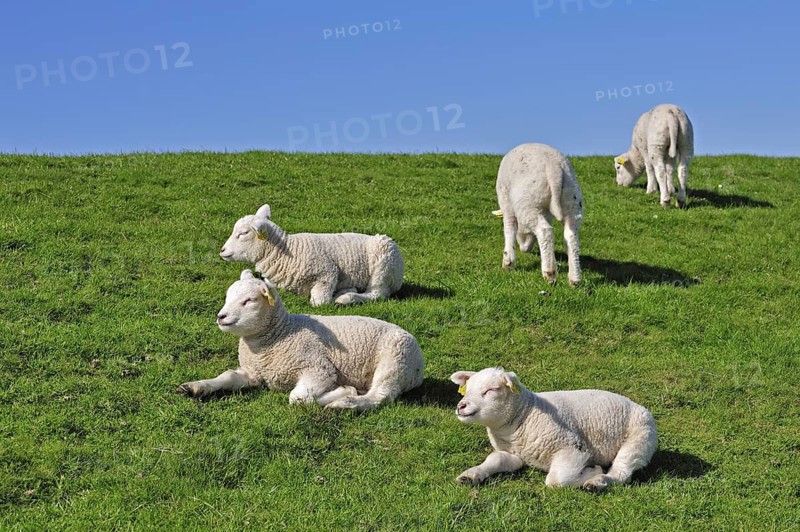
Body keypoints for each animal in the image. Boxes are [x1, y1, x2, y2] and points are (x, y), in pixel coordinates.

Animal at [176, 269, 424, 411]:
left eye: (249, 301)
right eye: (228, 297)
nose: (221, 317)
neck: (281, 333)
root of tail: (419, 368)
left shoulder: (318, 369)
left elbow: (297, 398)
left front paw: (343, 391)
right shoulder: (253, 372)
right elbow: (226, 377)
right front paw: (195, 387)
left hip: (394, 361)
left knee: (379, 396)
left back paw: (345, 404)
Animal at [220, 204, 404, 306]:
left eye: (243, 233)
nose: (222, 250)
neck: (287, 251)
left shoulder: (327, 273)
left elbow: (320, 302)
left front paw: (337, 296)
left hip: (384, 264)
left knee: (377, 293)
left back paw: (346, 297)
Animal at [450, 367, 657, 491]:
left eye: (491, 390)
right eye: (467, 390)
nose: (461, 406)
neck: (526, 413)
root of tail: (639, 406)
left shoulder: (573, 448)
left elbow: (556, 480)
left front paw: (593, 471)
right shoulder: (514, 454)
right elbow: (496, 459)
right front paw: (470, 475)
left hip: (639, 440)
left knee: (622, 473)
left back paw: (597, 482)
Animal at [495, 143, 584, 286]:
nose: (524, 249)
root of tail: (554, 169)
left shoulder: (506, 201)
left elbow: (510, 228)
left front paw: (508, 262)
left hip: (529, 202)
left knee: (544, 231)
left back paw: (549, 274)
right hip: (573, 200)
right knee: (571, 236)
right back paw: (574, 279)